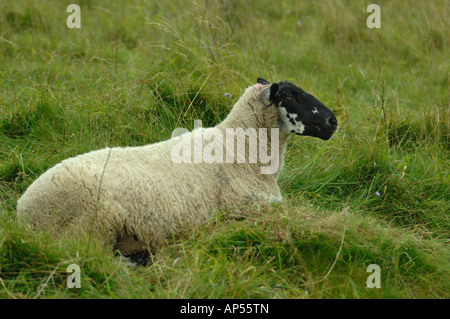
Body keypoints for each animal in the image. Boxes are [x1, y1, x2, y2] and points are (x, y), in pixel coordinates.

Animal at [15, 79, 336, 262]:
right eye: (290, 96)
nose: (333, 121)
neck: (240, 149)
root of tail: (23, 211)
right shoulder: (249, 207)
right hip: (92, 223)